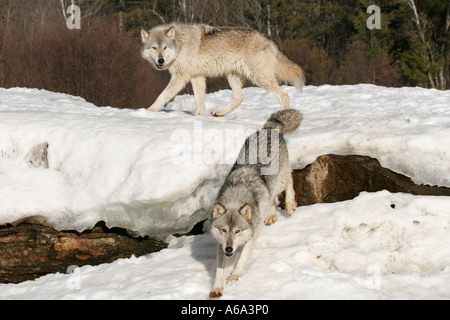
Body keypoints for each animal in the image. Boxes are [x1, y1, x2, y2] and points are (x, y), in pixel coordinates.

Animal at [140, 23, 306, 116]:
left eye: (165, 48)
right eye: (154, 48)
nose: (160, 61)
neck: (179, 44)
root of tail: (268, 39)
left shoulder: (180, 77)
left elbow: (162, 95)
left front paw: (150, 111)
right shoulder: (197, 77)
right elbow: (199, 101)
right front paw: (199, 117)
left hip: (258, 77)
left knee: (284, 94)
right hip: (232, 75)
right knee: (239, 98)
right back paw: (220, 113)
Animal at [208, 109, 300, 298]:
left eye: (237, 231)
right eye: (223, 230)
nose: (230, 250)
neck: (237, 196)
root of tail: (269, 128)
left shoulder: (254, 232)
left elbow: (243, 257)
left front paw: (235, 275)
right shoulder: (221, 245)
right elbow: (219, 270)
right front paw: (217, 288)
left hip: (280, 179)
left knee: (290, 179)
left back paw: (289, 204)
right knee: (271, 199)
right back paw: (271, 216)